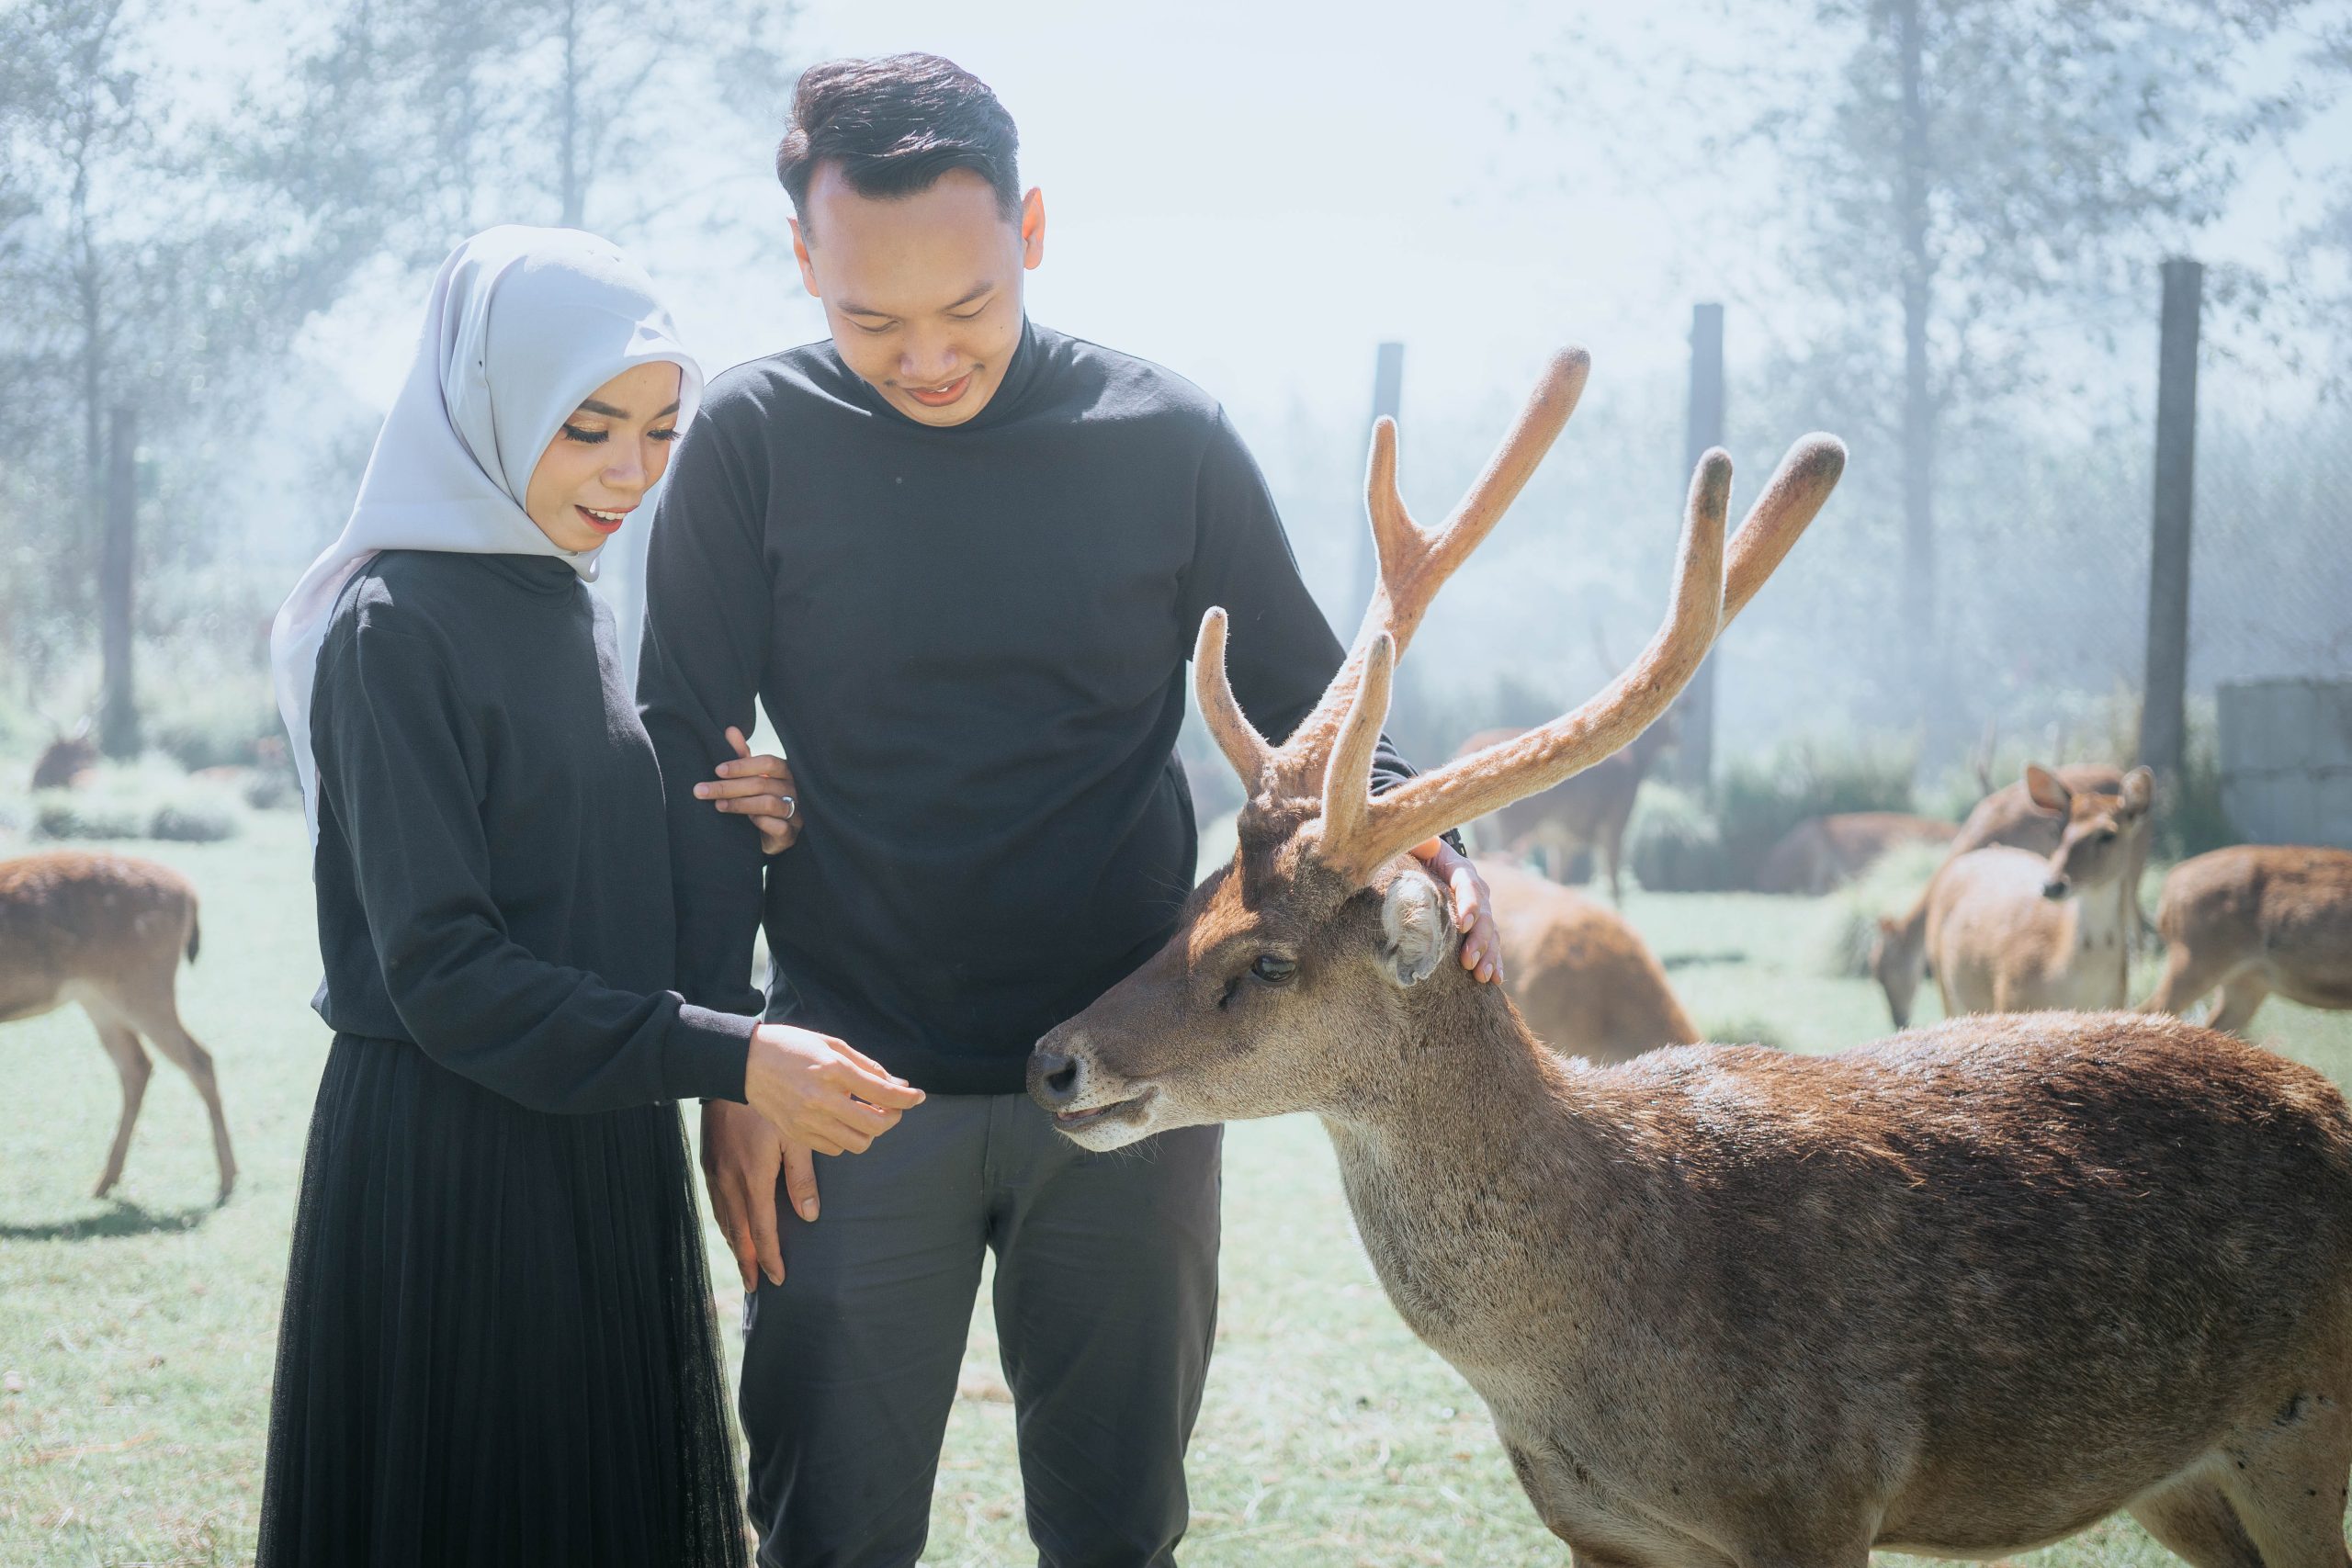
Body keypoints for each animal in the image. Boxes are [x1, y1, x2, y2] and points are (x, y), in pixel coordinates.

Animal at [0, 851, 236, 1201]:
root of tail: (189, 893)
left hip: (143, 987)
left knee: (197, 1058)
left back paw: (226, 1179)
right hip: (100, 997)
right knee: (138, 1064)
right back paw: (106, 1180)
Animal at [1456, 712, 1675, 904]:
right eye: (1673, 717)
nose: (1677, 740)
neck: (1636, 765)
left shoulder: (1562, 840)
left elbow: (1559, 876)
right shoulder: (1615, 820)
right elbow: (1613, 881)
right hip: (1513, 825)